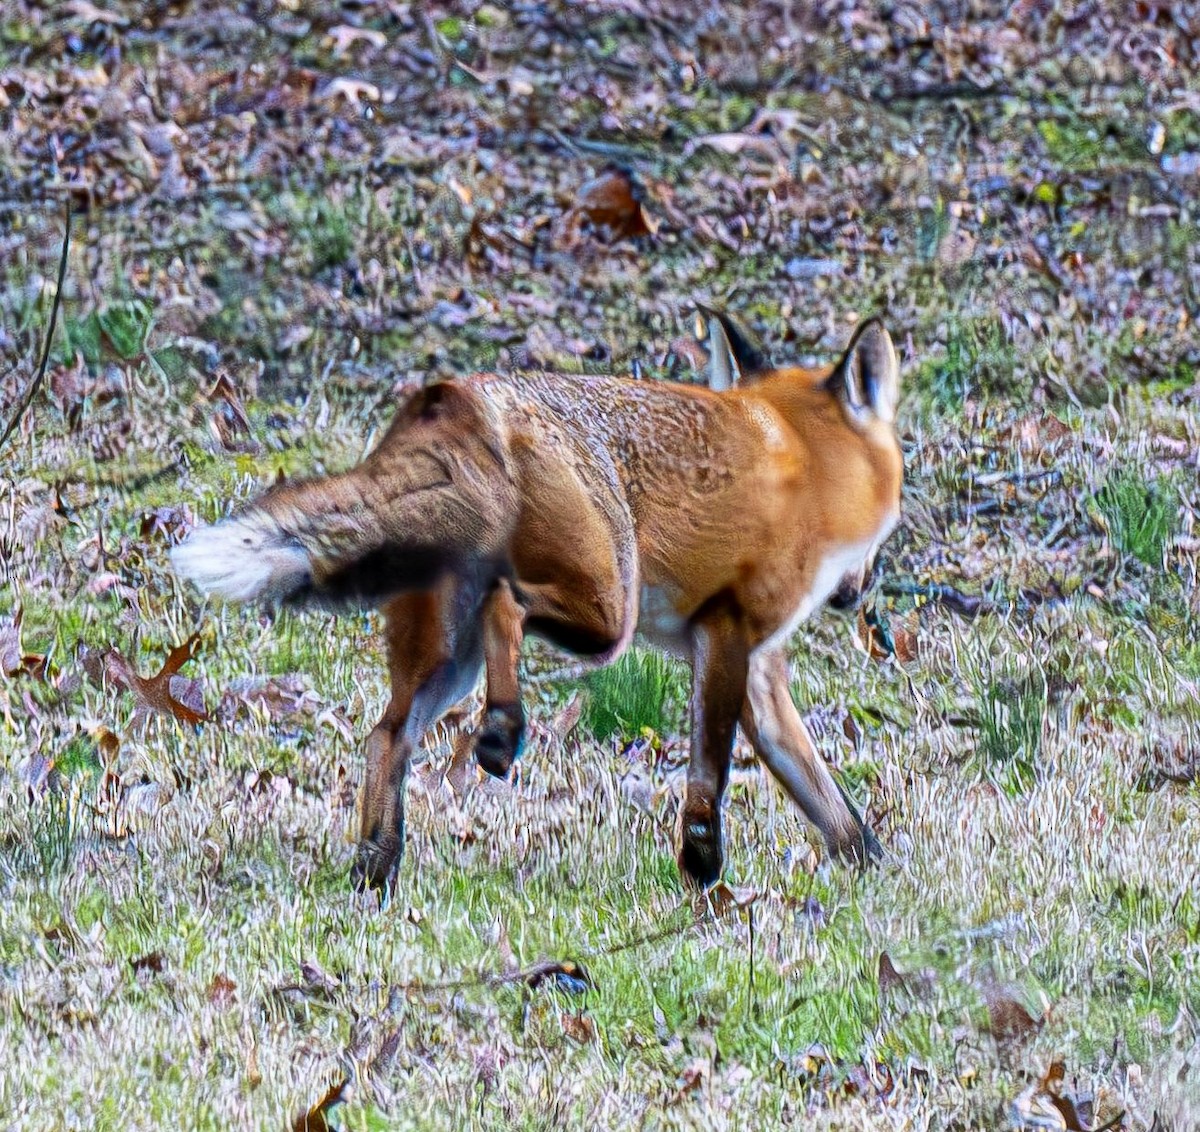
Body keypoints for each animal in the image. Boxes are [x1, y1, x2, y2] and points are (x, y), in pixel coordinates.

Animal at [171, 314, 903, 892]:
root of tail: (462, 394)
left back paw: (375, 872)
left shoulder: (757, 668)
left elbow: (829, 801)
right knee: (506, 606)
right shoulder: (725, 632)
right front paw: (700, 863)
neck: (807, 463)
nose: (863, 601)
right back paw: (500, 733)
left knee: (387, 736)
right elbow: (711, 772)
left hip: (450, 655)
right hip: (609, 610)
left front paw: (877, 877)